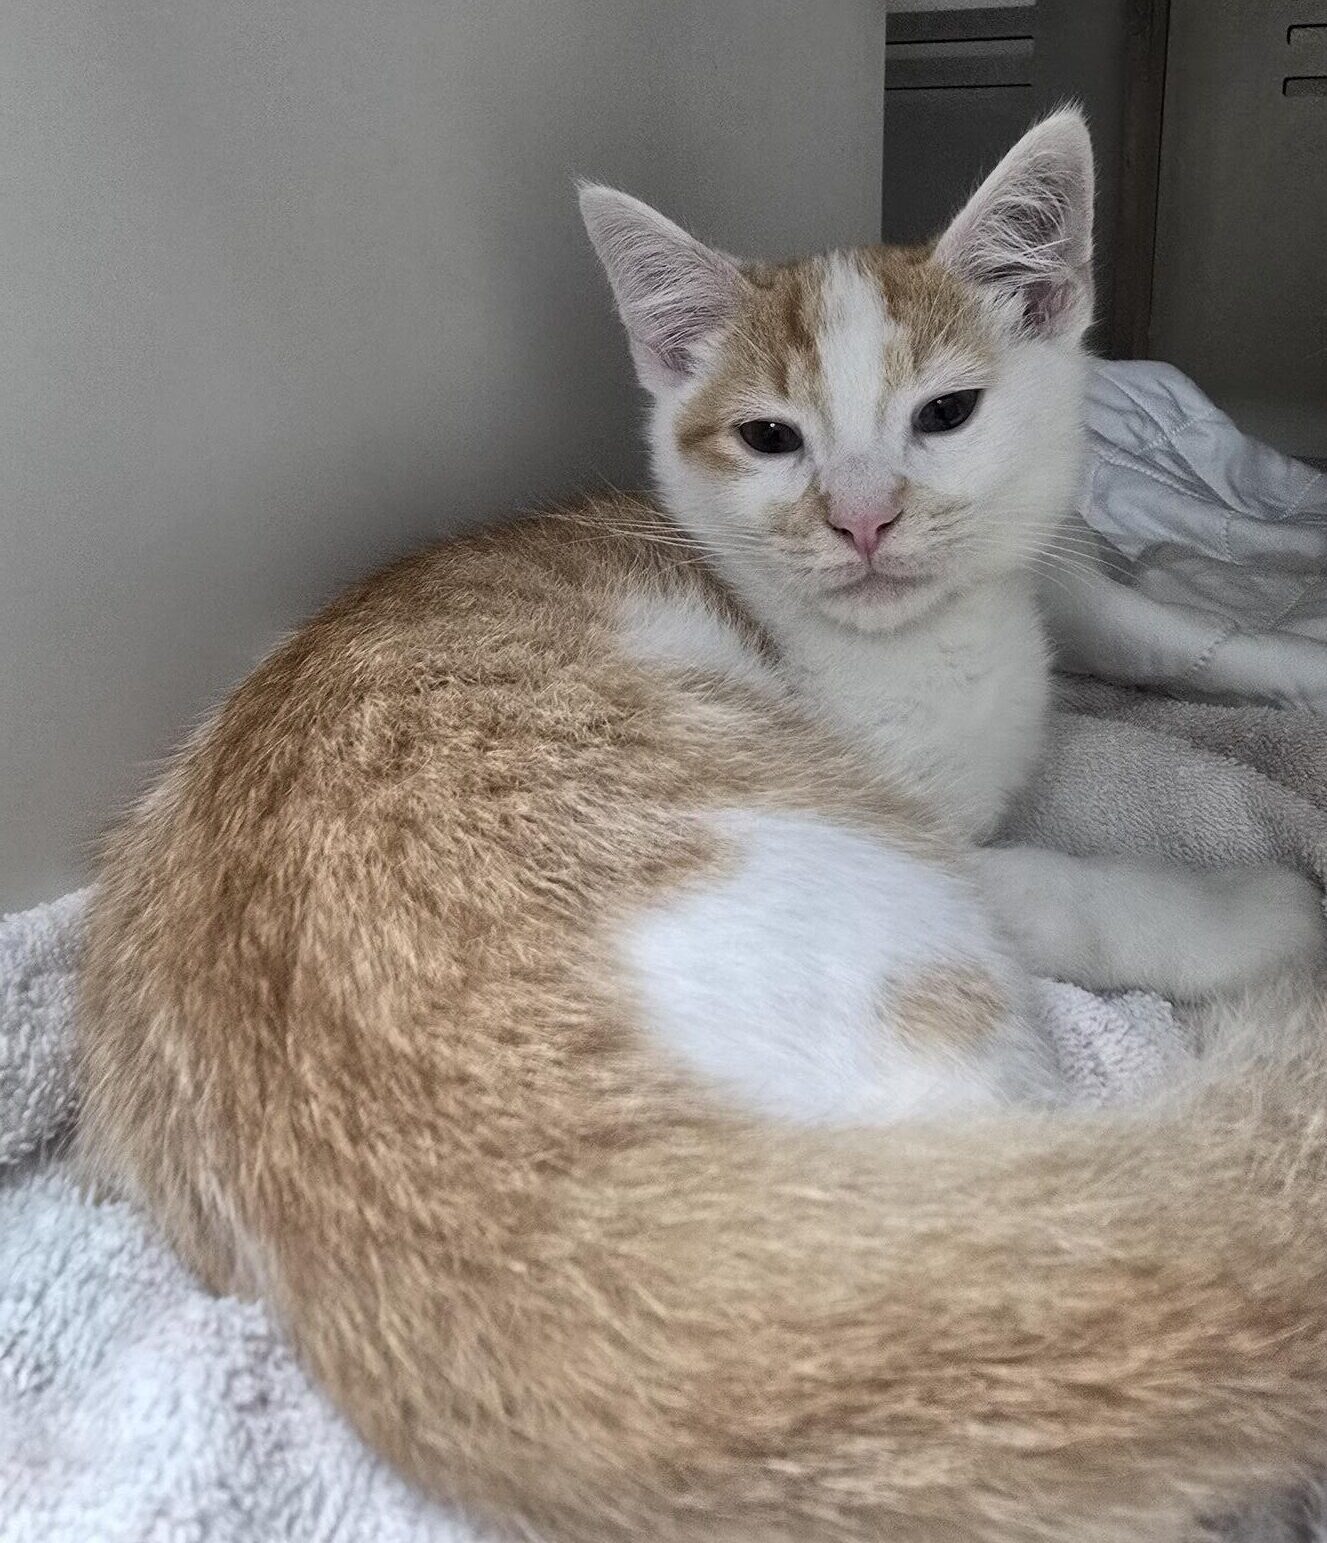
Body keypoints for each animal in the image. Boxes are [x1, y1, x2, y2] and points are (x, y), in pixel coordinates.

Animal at [77, 111, 1327, 1543]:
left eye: (946, 413)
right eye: (769, 437)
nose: (863, 517)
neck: (937, 635)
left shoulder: (1041, 569)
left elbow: (1135, 616)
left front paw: (1289, 650)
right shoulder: (927, 818)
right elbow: (1065, 886)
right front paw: (1258, 902)